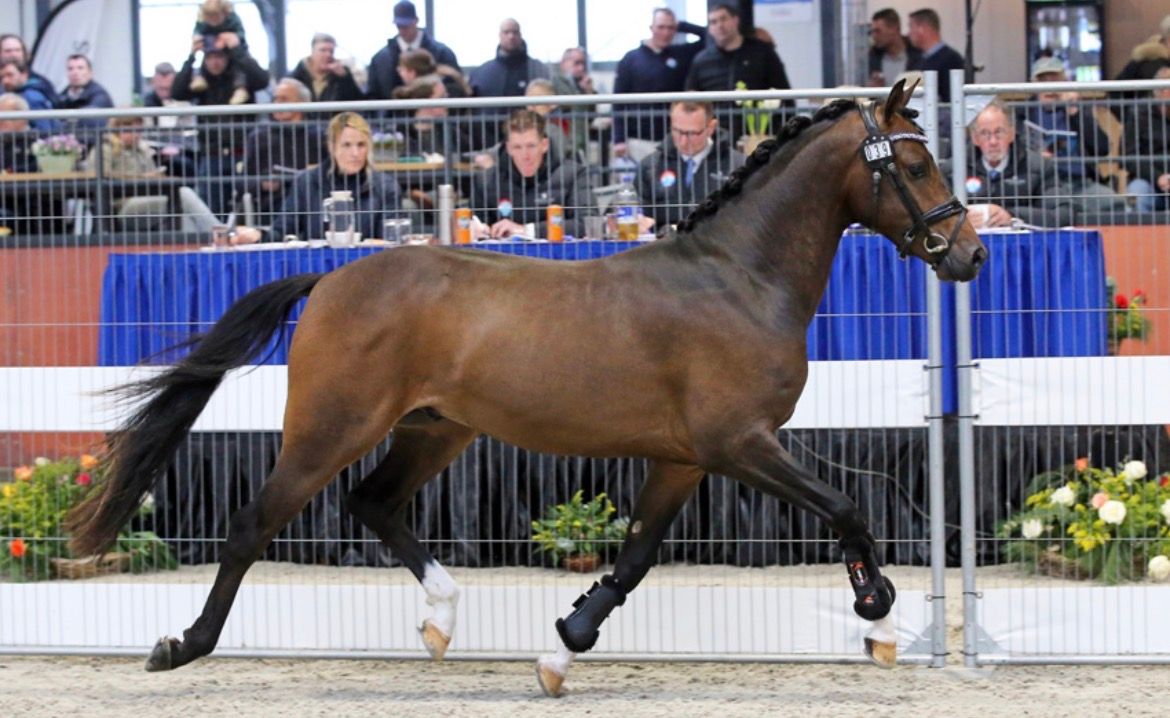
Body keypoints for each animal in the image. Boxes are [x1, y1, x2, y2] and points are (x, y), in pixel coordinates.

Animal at [67, 81, 986, 696]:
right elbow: (847, 507)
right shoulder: (739, 442)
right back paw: (181, 645)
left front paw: (562, 644)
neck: (737, 279)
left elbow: (636, 557)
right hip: (332, 427)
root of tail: (331, 276)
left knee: (373, 503)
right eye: (913, 161)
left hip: (436, 428)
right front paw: (878, 612)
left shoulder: (686, 457)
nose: (970, 254)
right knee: (253, 525)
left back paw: (441, 619)